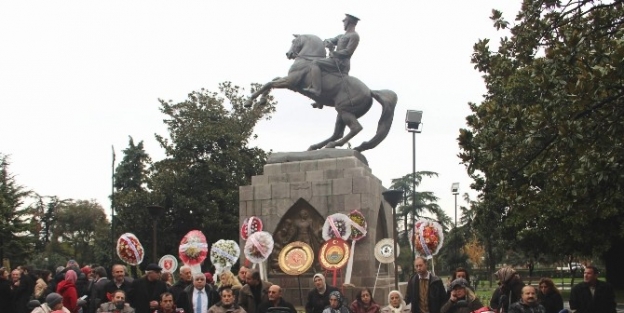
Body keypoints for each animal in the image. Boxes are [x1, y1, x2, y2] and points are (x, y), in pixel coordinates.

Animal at [244, 34, 394, 151]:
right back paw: (317, 146)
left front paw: (249, 101)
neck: (306, 59)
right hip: (342, 112)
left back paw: (332, 145)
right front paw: (262, 100)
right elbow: (272, 80)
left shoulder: (291, 82)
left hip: (344, 110)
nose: (288, 54)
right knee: (338, 133)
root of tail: (370, 91)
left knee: (355, 128)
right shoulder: (291, 84)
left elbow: (269, 83)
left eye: (294, 41)